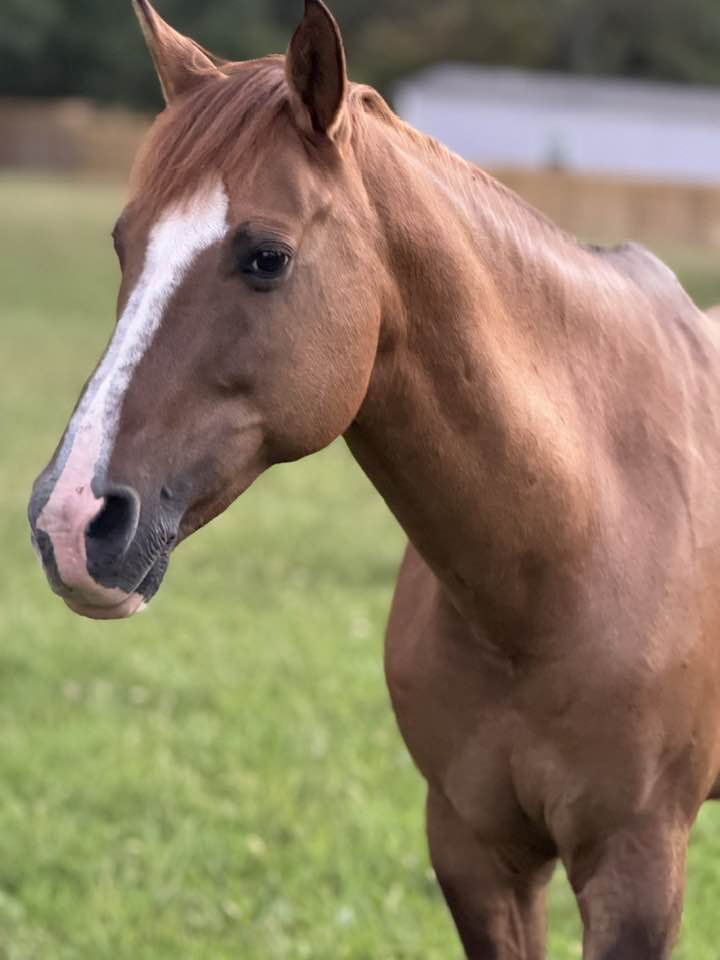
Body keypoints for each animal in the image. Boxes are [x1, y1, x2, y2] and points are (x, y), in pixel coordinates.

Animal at [27, 1, 720, 956]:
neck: (584, 537)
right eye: (124, 243)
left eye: (267, 256)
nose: (71, 519)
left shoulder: (638, 871)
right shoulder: (475, 853)